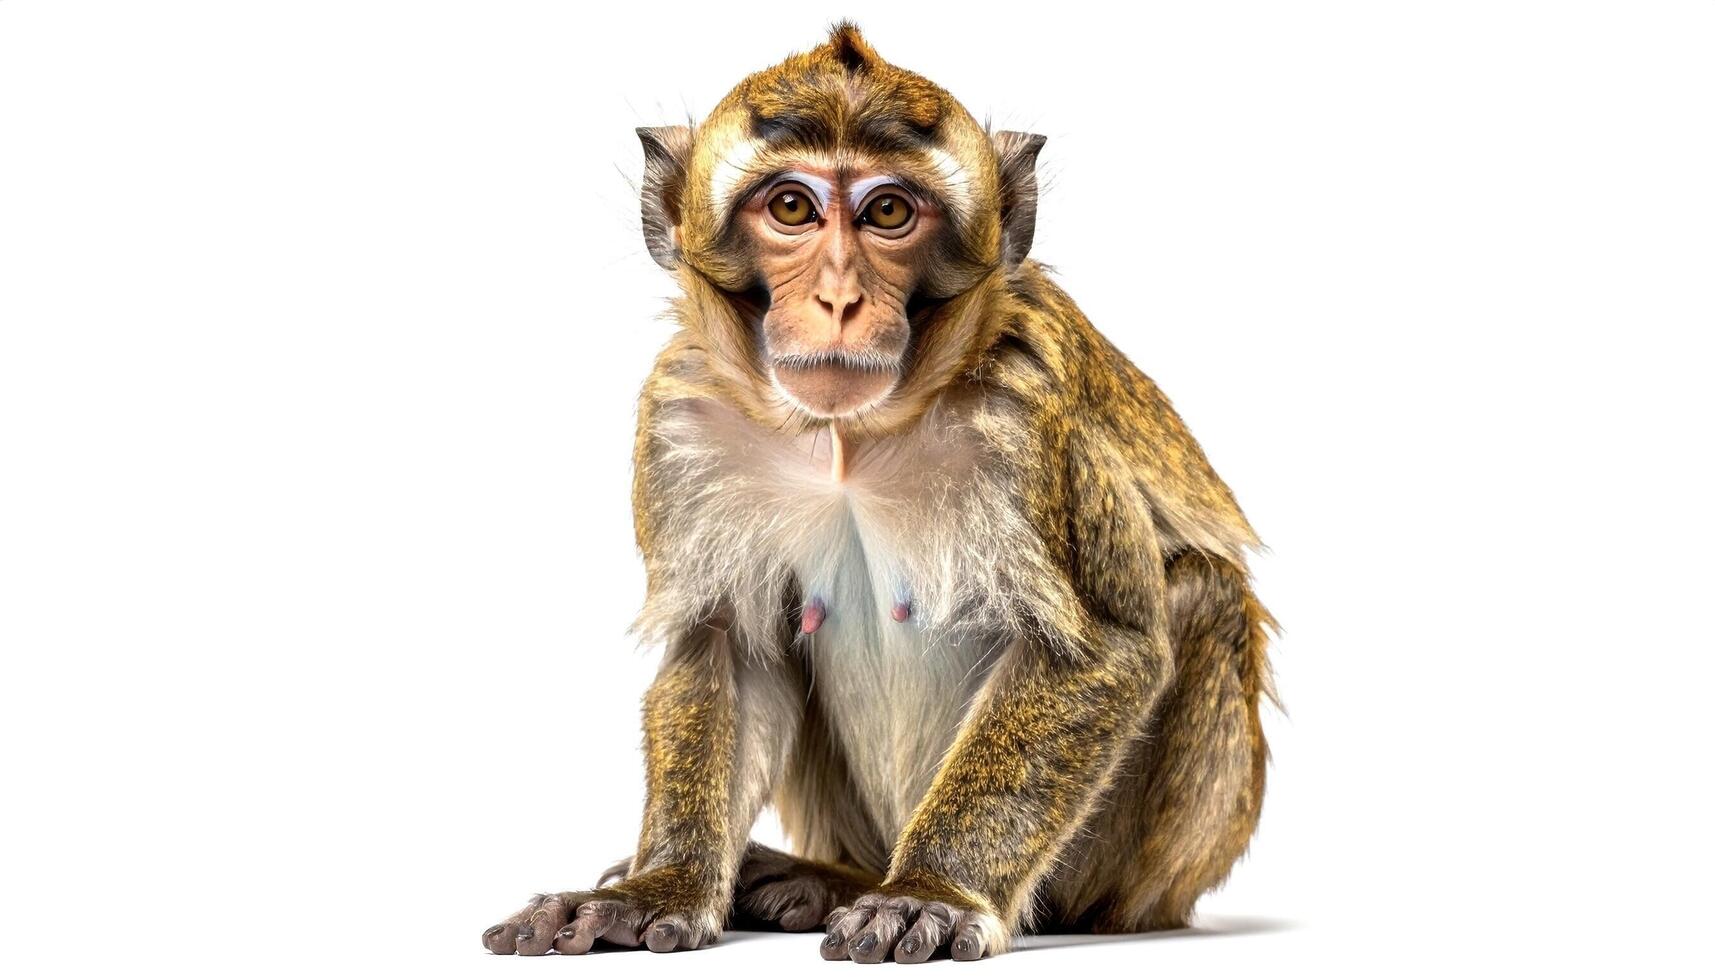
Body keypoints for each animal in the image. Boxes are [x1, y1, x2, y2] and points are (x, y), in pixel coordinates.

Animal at [481, 23, 1275, 963]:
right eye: (791, 208)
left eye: (889, 213)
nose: (838, 297)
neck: (848, 443)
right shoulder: (684, 420)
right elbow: (726, 643)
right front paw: (656, 888)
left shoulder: (1033, 416)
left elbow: (1101, 648)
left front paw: (931, 890)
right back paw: (819, 879)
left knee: (1204, 593)